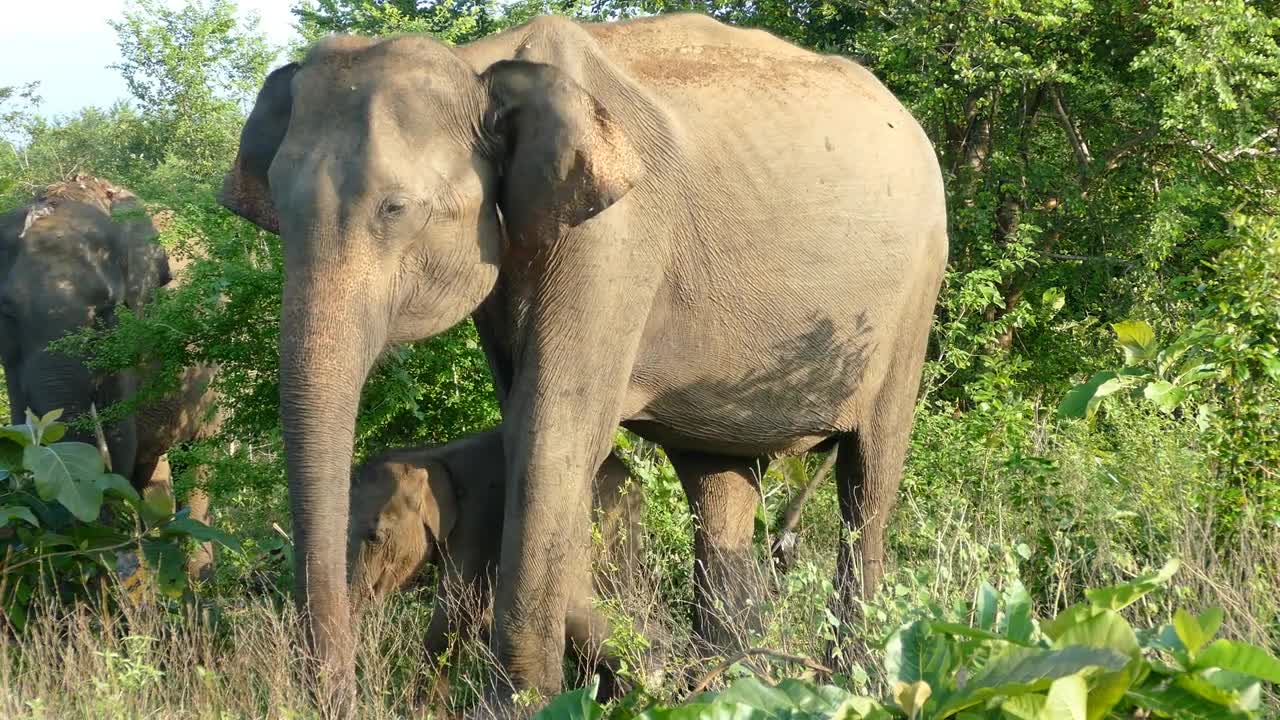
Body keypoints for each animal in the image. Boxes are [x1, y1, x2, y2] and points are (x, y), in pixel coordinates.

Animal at [1, 175, 222, 576]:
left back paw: (199, 580)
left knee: (199, 459)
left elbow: (119, 444)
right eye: (7, 312)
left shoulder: (133, 338)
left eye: (105, 311)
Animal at [345, 422, 640, 707]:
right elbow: (480, 611)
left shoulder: (478, 516)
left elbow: (459, 605)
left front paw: (421, 711)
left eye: (375, 537)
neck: (428, 454)